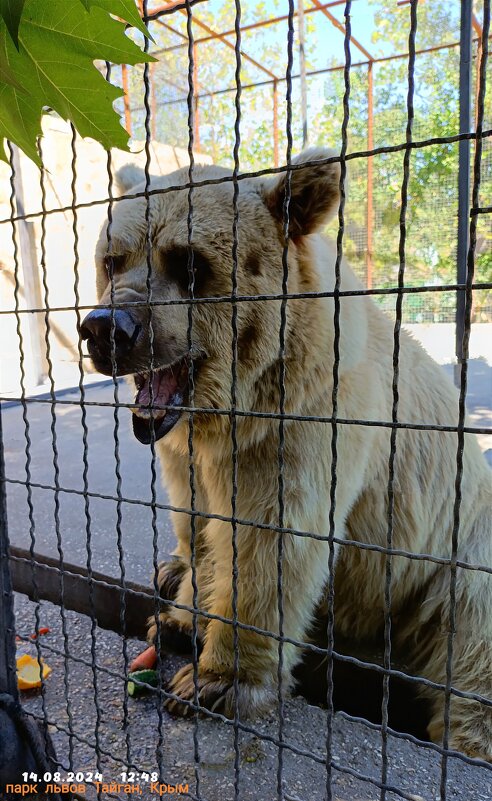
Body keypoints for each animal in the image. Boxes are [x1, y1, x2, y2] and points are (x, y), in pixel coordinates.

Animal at [81, 148, 492, 756]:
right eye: (113, 260)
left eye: (190, 265)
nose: (106, 329)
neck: (232, 409)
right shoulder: (190, 456)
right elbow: (202, 528)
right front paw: (178, 622)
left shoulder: (306, 421)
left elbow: (270, 540)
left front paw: (214, 681)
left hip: (452, 561)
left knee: (469, 646)